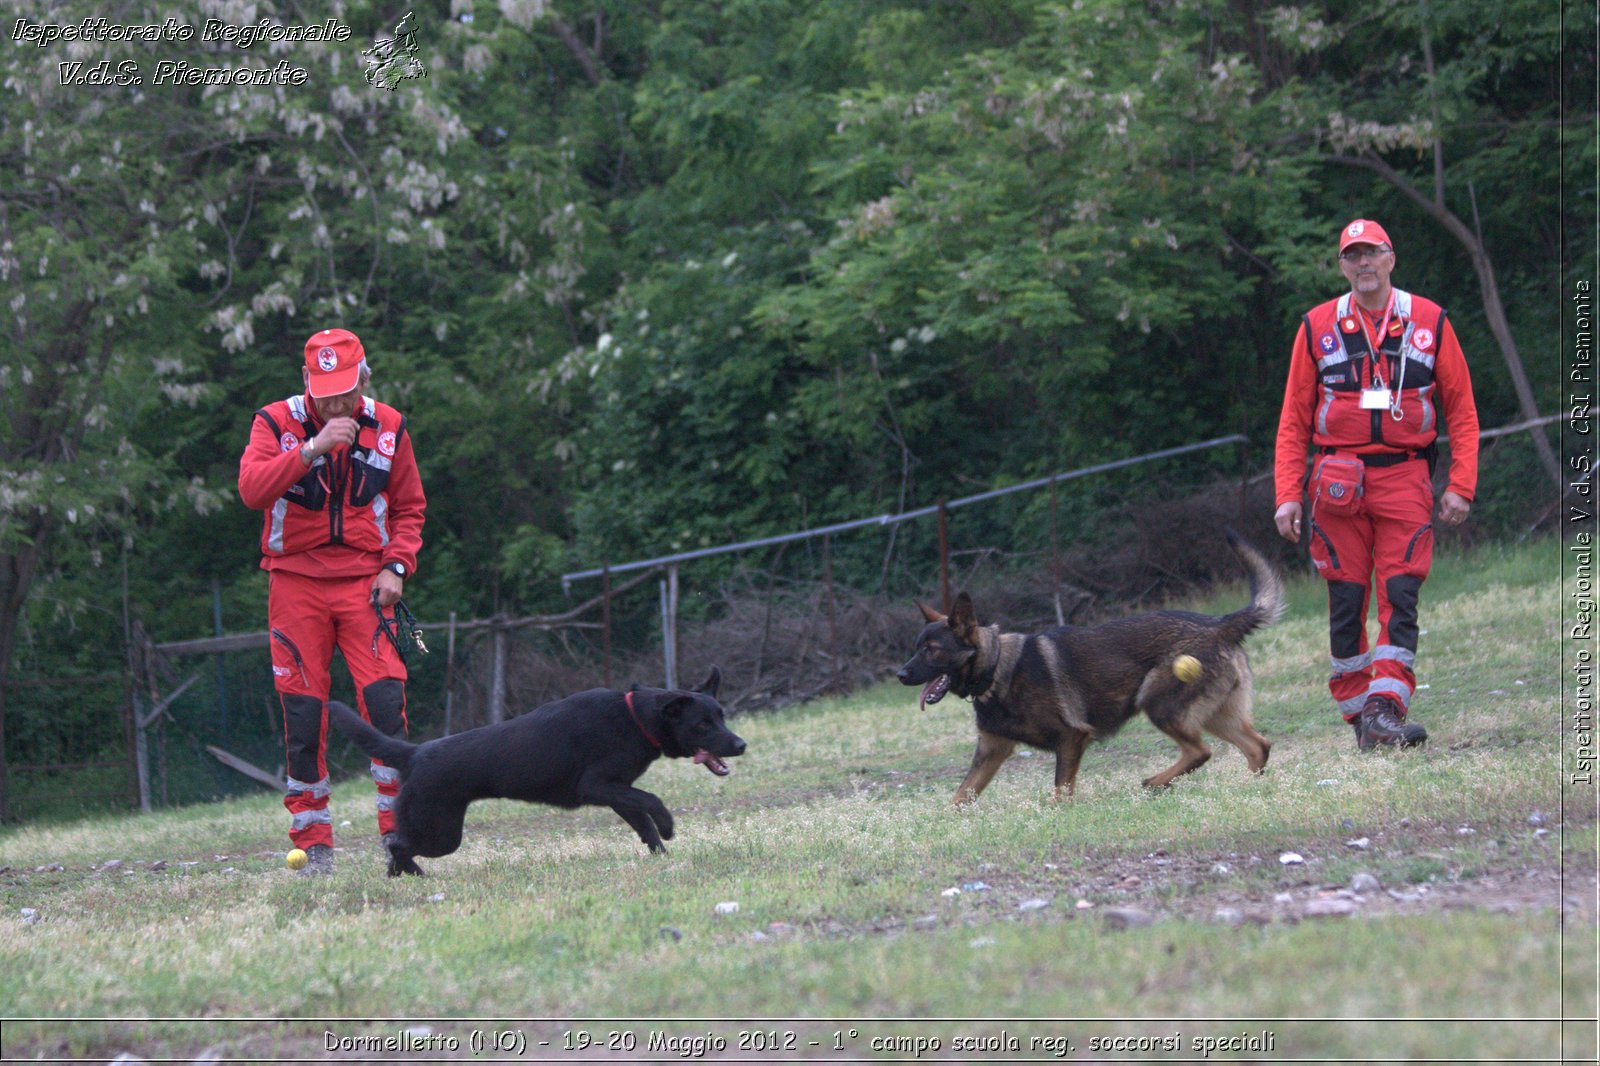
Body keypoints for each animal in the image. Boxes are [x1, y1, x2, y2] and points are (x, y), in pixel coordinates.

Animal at [329, 665, 748, 870]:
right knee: (397, 844)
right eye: (702, 724)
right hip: (441, 833)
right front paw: (669, 825)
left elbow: (642, 823)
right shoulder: (596, 786)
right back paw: (414, 873)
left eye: (721, 716)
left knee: (395, 846)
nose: (741, 744)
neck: (636, 718)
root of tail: (413, 753)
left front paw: (661, 855)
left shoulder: (617, 792)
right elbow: (652, 801)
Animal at [902, 528, 1286, 800]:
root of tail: (1221, 624)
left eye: (932, 650)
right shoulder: (991, 751)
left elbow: (1060, 794)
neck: (996, 669)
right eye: (916, 647)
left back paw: (1155, 782)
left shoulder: (1070, 739)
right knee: (1257, 747)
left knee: (1201, 751)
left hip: (1158, 703)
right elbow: (959, 796)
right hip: (1214, 713)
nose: (900, 674)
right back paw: (1247, 790)